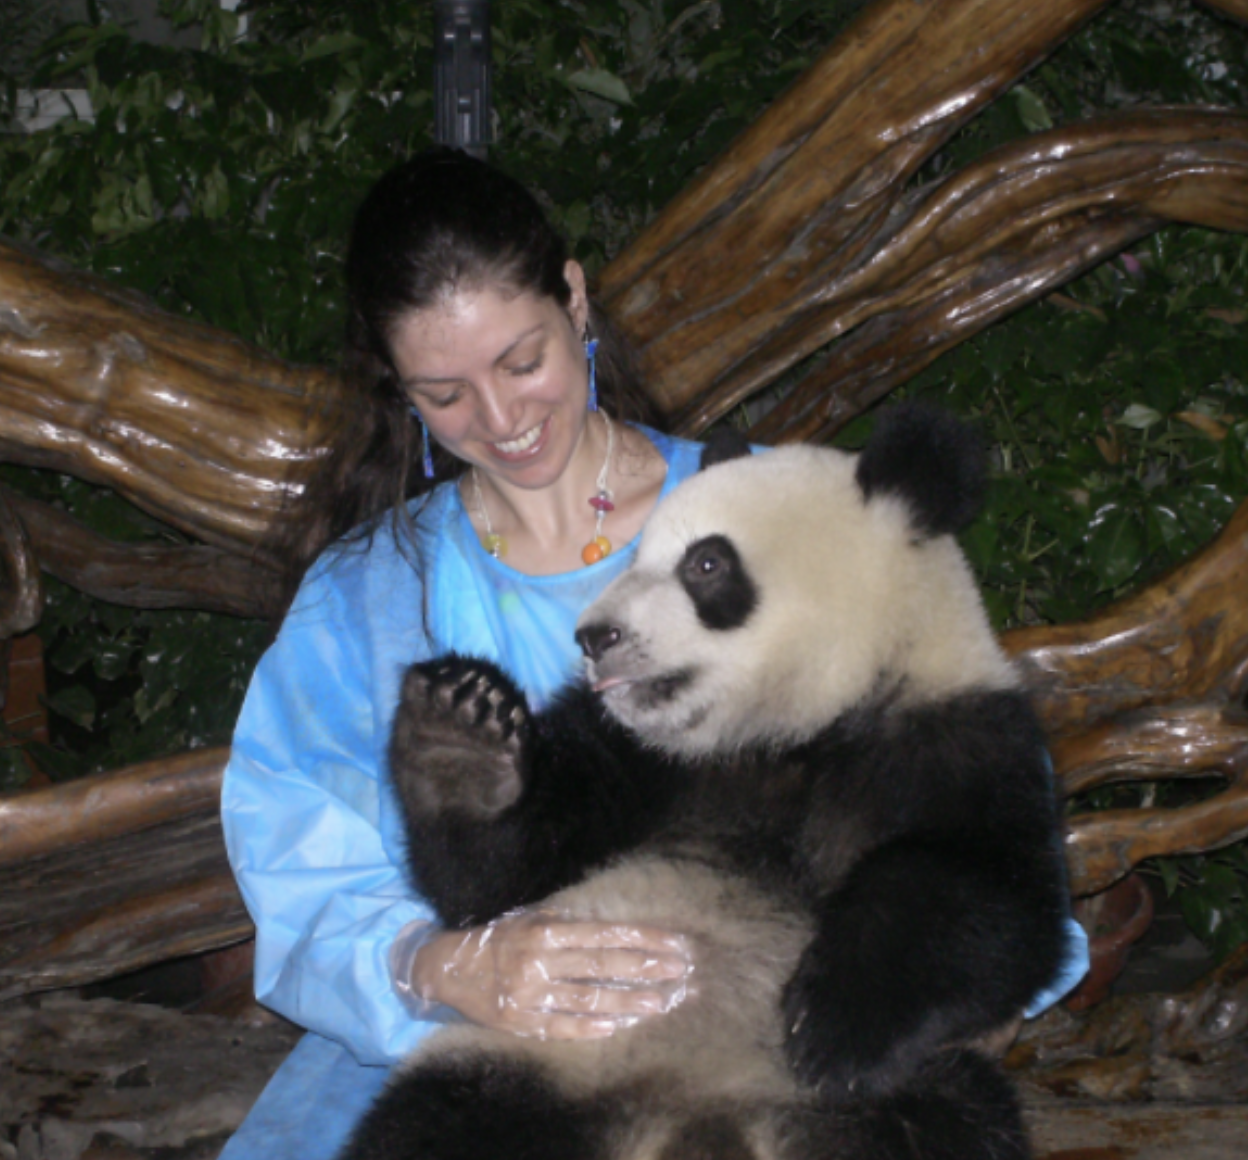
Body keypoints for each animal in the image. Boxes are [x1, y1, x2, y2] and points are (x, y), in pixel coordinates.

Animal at [342, 404, 1070, 1160]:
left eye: (707, 563)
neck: (785, 733)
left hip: (893, 1095)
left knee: (948, 1121)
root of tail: (690, 1126)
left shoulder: (955, 732)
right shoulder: (643, 758)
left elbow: (987, 896)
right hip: (523, 1060)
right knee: (435, 1123)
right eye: (635, 556)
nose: (593, 637)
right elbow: (502, 877)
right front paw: (463, 739)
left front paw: (831, 1027)